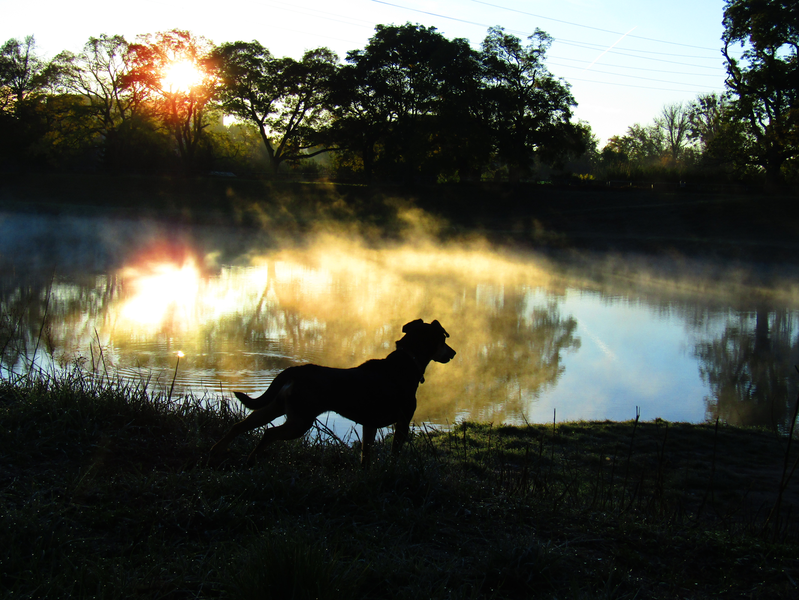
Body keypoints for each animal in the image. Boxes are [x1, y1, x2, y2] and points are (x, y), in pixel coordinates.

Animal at [209, 318, 456, 464]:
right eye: (443, 339)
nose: (453, 353)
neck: (407, 360)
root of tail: (295, 371)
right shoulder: (403, 421)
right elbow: (395, 453)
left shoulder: (369, 424)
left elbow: (365, 454)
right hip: (300, 421)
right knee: (268, 434)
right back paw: (251, 459)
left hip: (276, 407)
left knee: (240, 425)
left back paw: (217, 452)